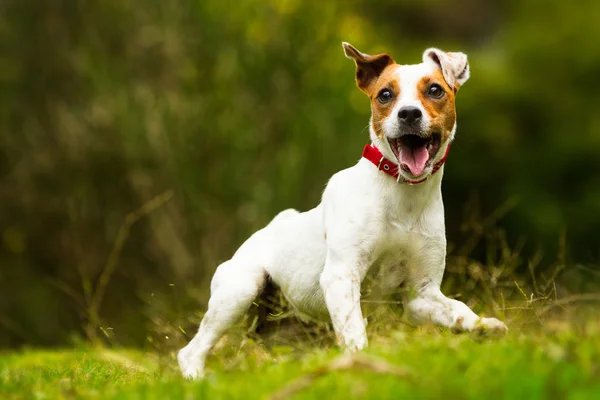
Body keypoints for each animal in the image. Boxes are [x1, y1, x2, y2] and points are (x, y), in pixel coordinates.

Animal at [177, 42, 506, 380]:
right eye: (385, 95)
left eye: (435, 90)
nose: (409, 113)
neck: (401, 195)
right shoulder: (342, 276)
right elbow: (354, 331)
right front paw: (362, 364)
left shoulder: (421, 294)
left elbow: (457, 310)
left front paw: (483, 325)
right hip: (239, 290)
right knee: (191, 350)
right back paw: (196, 380)